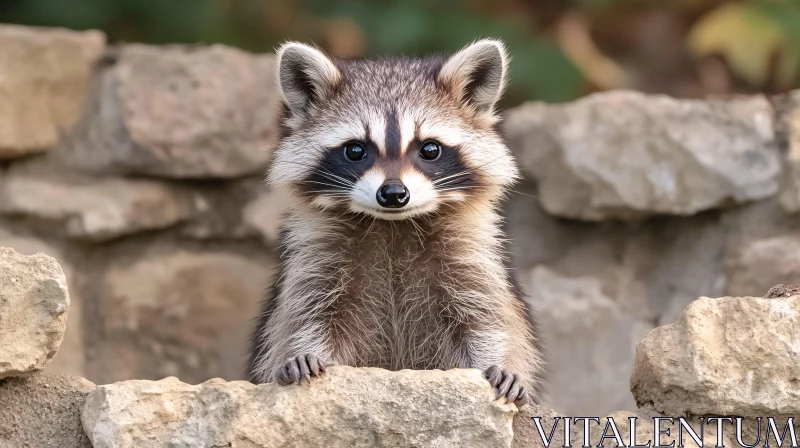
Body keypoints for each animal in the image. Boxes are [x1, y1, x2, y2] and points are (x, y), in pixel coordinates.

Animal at [247, 39, 540, 406]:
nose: (393, 194)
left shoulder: (468, 258)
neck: (393, 226)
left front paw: (498, 362)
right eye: (355, 151)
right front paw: (304, 352)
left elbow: (487, 318)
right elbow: (305, 316)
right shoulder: (317, 259)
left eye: (429, 149)